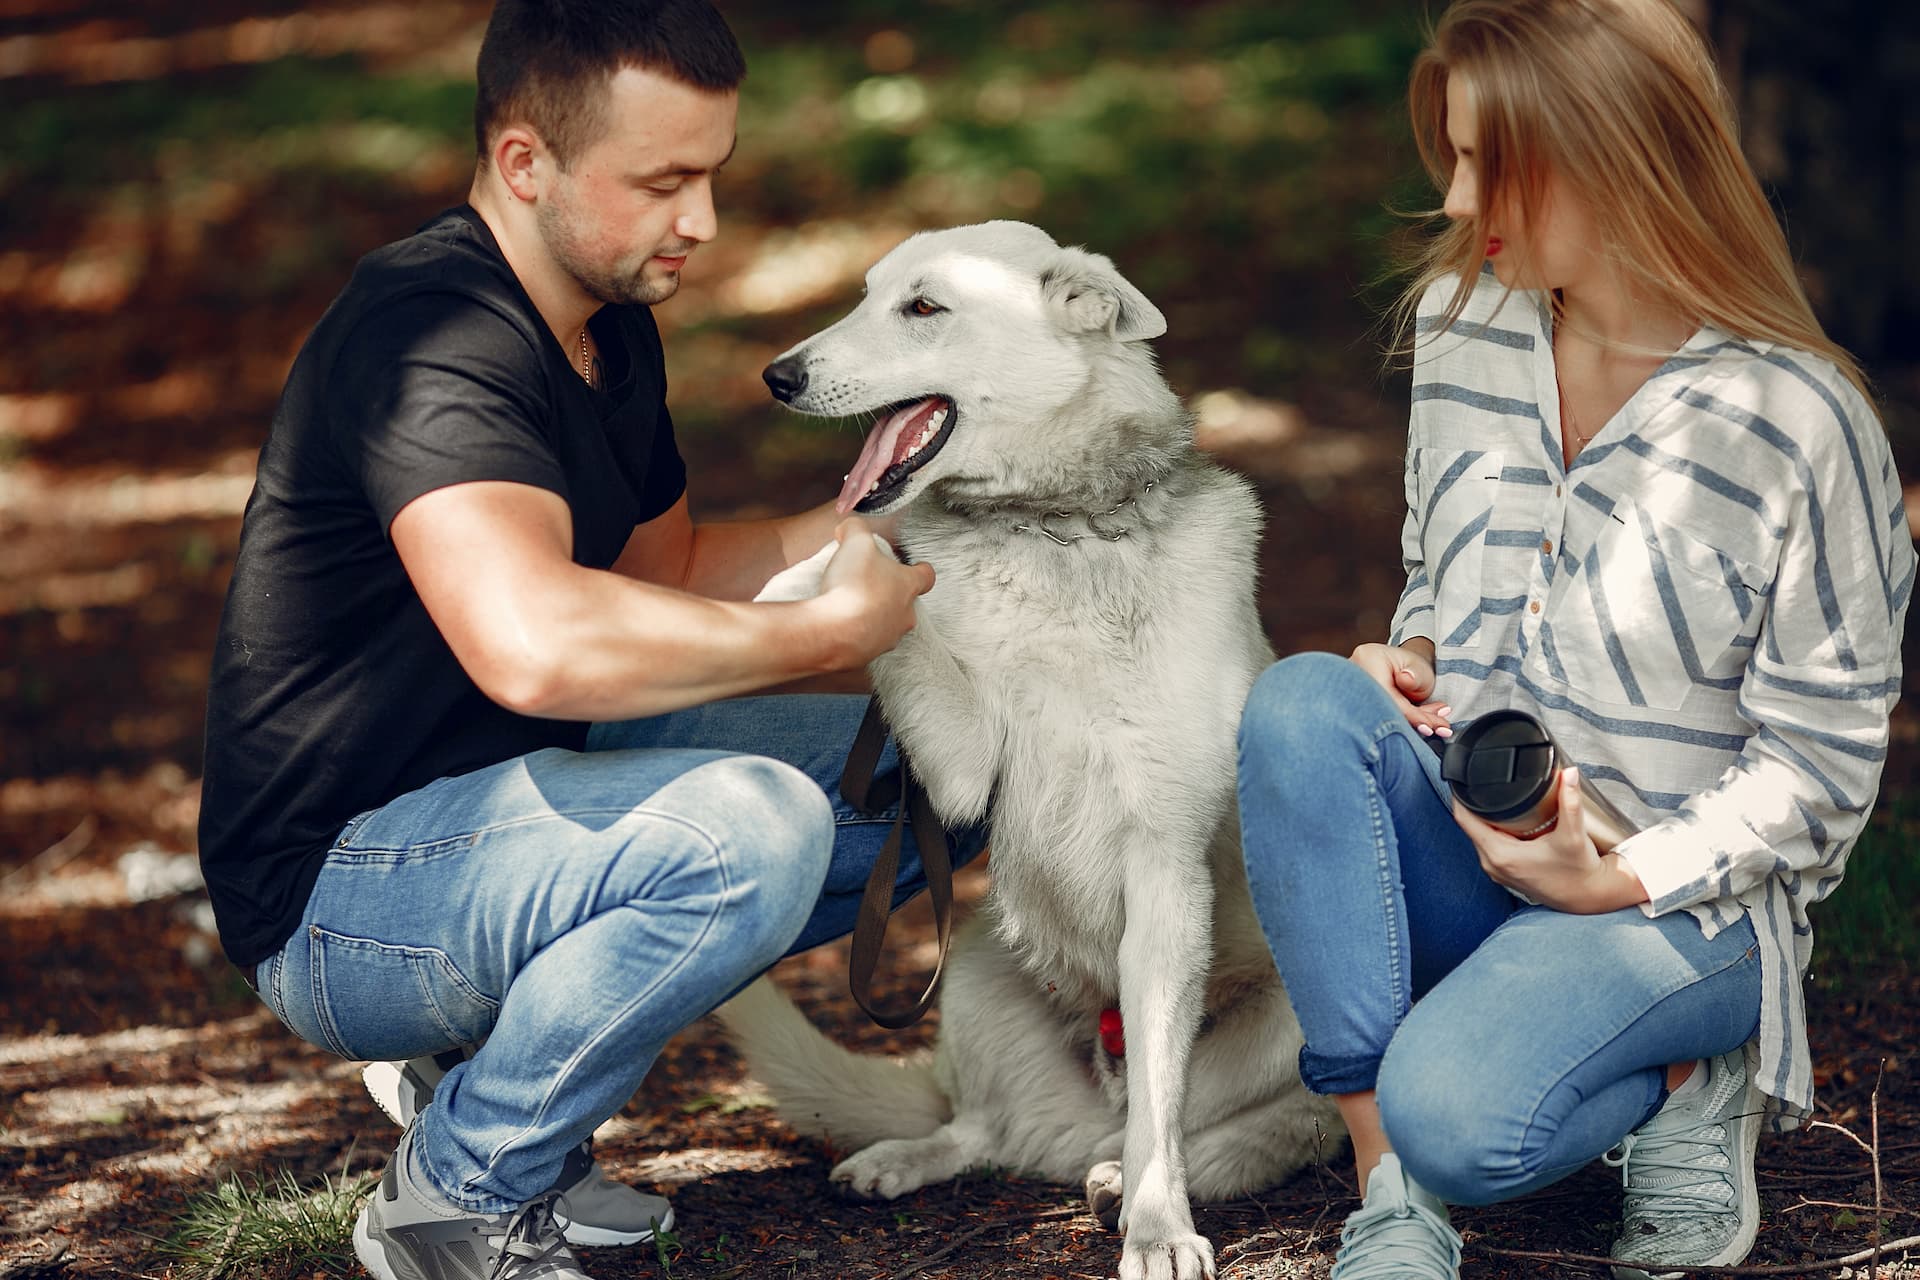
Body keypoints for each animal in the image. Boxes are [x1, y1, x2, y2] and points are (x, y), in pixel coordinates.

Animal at [718, 222, 1336, 1280]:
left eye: (924, 307)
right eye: (866, 293)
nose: (778, 376)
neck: (1058, 530)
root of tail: (1082, 1108)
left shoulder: (1165, 870)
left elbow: (1165, 1106)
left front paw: (1158, 1229)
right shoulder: (962, 765)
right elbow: (892, 593)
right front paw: (806, 583)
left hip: (1297, 1008)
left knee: (1236, 1125)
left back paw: (1125, 1181)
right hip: (970, 968)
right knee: (982, 1131)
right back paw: (908, 1158)